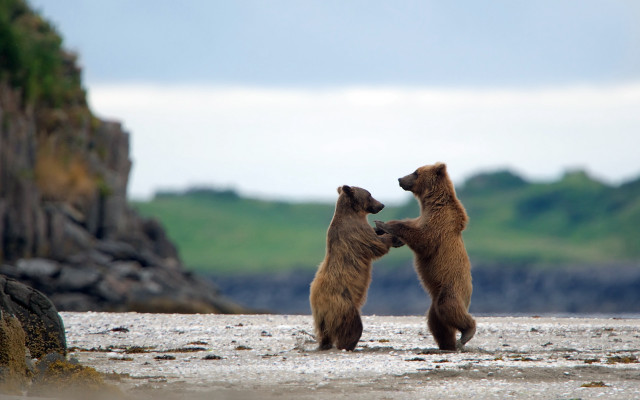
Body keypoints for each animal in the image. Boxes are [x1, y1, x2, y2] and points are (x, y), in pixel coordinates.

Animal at [309, 185, 403, 351]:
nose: (381, 205)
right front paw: (393, 237)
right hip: (343, 304)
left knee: (324, 332)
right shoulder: (357, 233)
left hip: (321, 317)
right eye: (370, 195)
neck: (353, 213)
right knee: (353, 326)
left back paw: (325, 343)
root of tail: (317, 302)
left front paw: (380, 227)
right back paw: (348, 344)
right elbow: (376, 244)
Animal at [374, 162, 476, 351]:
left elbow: (423, 239)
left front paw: (384, 224)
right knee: (436, 321)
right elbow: (411, 227)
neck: (431, 203)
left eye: (416, 172)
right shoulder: (422, 218)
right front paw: (381, 229)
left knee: (449, 307)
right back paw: (447, 344)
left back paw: (466, 333)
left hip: (452, 286)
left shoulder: (440, 223)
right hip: (435, 301)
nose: (400, 179)